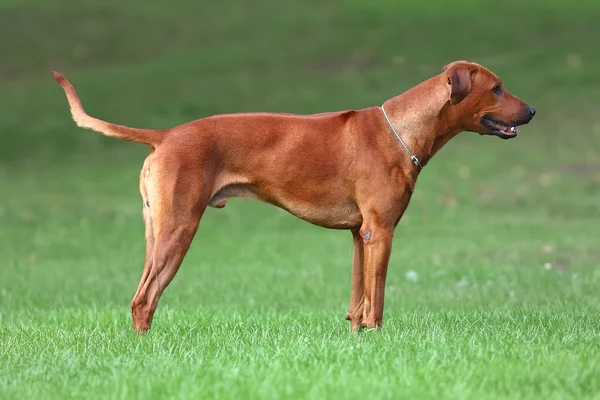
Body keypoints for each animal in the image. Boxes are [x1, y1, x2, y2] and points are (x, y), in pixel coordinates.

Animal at [52, 61, 536, 332]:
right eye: (497, 88)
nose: (532, 111)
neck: (402, 128)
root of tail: (166, 135)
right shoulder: (381, 232)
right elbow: (377, 299)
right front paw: (381, 339)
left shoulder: (360, 235)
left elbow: (357, 302)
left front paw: (359, 344)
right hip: (179, 230)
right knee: (144, 299)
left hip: (157, 233)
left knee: (141, 295)